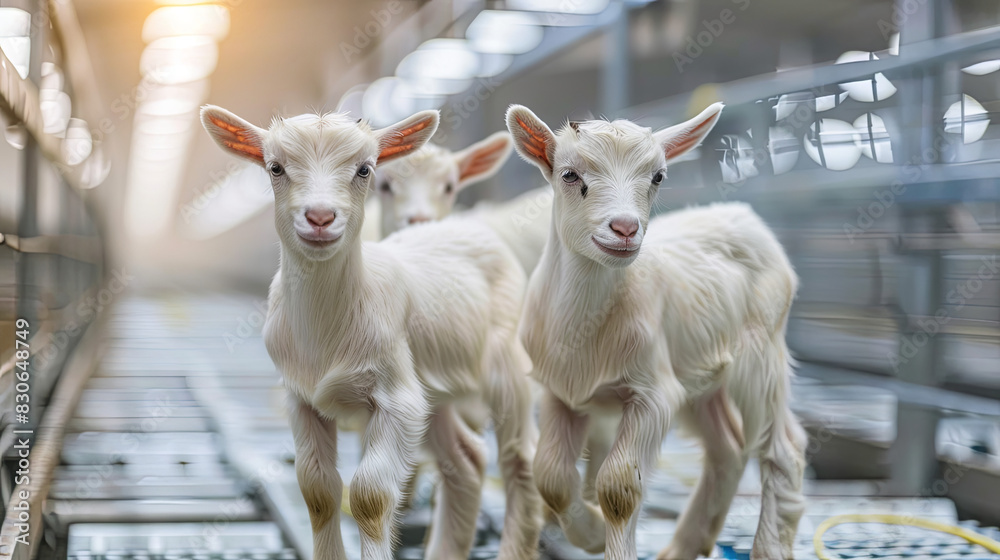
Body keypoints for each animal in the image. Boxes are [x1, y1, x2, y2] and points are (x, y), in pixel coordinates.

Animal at [201, 106, 542, 560]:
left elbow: (369, 496)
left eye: (365, 169)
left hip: (506, 367)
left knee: (519, 459)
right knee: (466, 460)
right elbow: (317, 491)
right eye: (275, 168)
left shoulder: (396, 399)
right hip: (433, 391)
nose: (320, 217)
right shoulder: (301, 399)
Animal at [505, 103, 807, 560]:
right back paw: (684, 545)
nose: (625, 228)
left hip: (761, 354)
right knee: (728, 448)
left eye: (658, 176)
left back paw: (769, 547)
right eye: (569, 175)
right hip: (701, 375)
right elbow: (551, 477)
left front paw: (605, 534)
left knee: (784, 449)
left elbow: (619, 487)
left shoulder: (653, 393)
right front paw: (593, 534)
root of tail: (743, 214)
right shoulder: (561, 391)